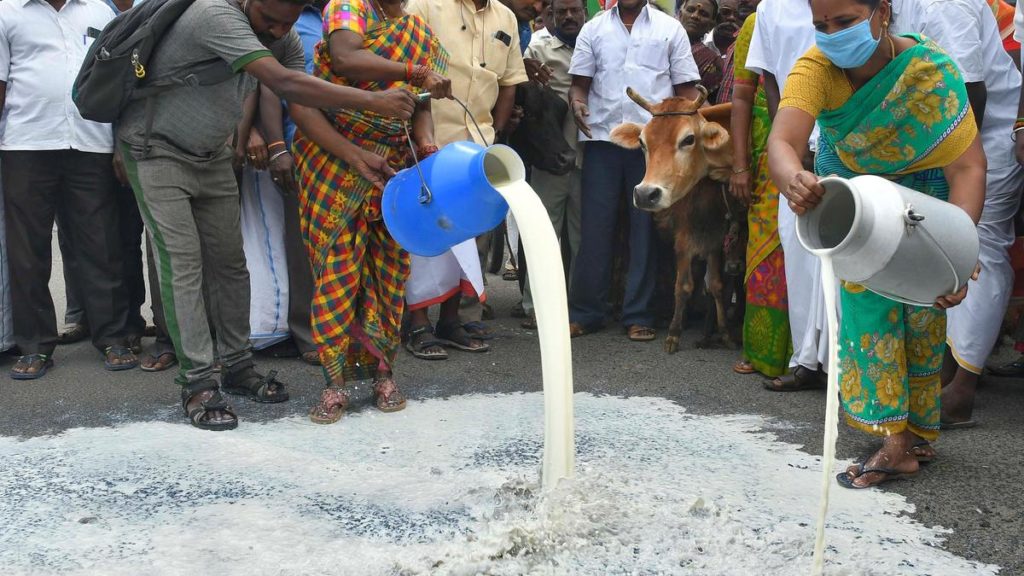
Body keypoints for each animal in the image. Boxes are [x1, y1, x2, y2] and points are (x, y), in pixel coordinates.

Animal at [606, 87, 737, 352]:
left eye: (688, 139)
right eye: (642, 142)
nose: (645, 194)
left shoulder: (714, 239)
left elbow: (716, 285)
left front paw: (725, 333)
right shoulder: (684, 240)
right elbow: (684, 285)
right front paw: (674, 333)